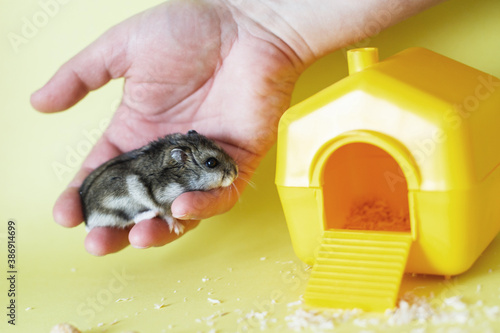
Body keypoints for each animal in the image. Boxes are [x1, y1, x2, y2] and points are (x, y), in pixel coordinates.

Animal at [79, 130, 238, 233]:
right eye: (211, 163)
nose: (236, 172)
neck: (180, 174)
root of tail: (87, 219)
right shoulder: (162, 200)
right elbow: (166, 214)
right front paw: (178, 228)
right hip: (121, 209)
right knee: (133, 219)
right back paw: (152, 214)